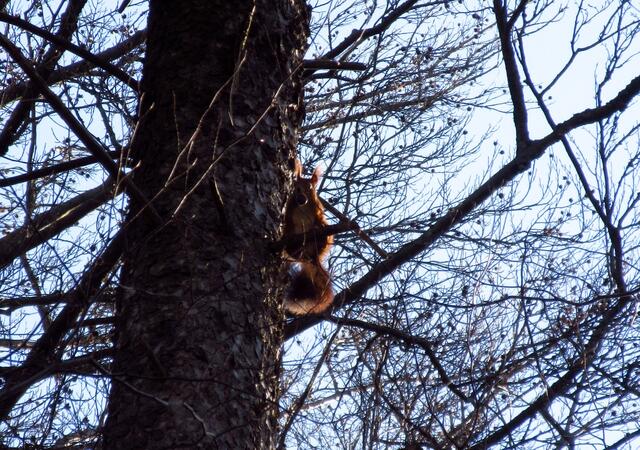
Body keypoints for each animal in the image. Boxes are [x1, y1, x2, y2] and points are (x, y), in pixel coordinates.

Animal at [283, 159, 333, 315]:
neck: (302, 207)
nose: (301, 199)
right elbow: (288, 225)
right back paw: (294, 249)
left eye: (310, 188)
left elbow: (320, 220)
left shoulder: (318, 210)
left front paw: (320, 226)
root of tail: (310, 257)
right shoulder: (289, 213)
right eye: (296, 188)